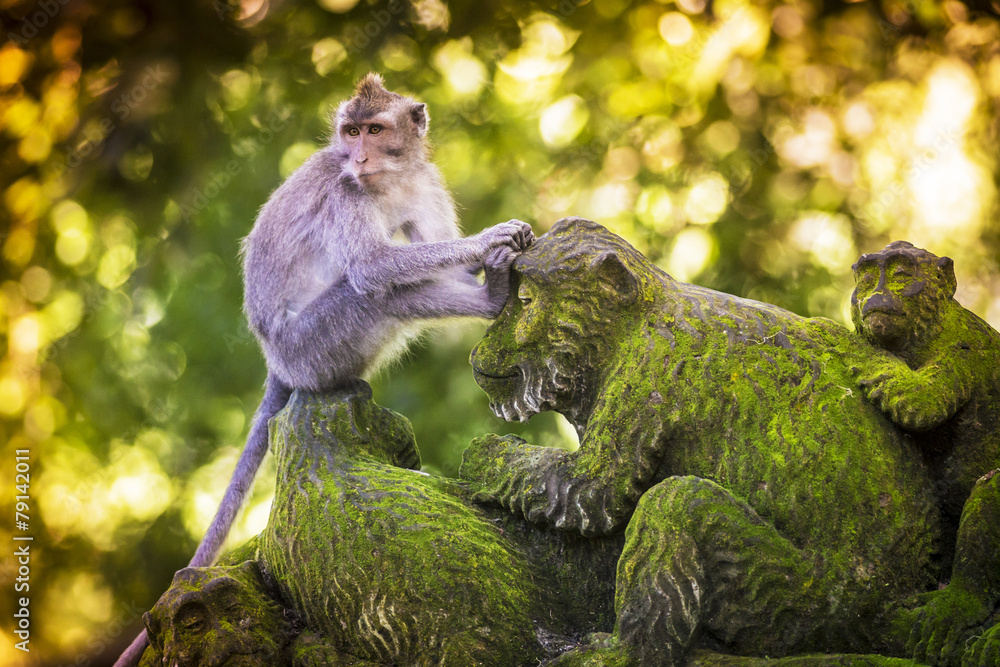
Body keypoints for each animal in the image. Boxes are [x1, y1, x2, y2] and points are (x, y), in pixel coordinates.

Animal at [113, 73, 533, 667]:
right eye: (350, 132)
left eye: (374, 130)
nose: (357, 156)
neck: (388, 181)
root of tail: (274, 361)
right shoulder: (344, 193)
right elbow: (375, 268)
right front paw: (488, 242)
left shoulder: (425, 183)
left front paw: (484, 258)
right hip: (314, 346)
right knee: (377, 294)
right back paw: (494, 297)